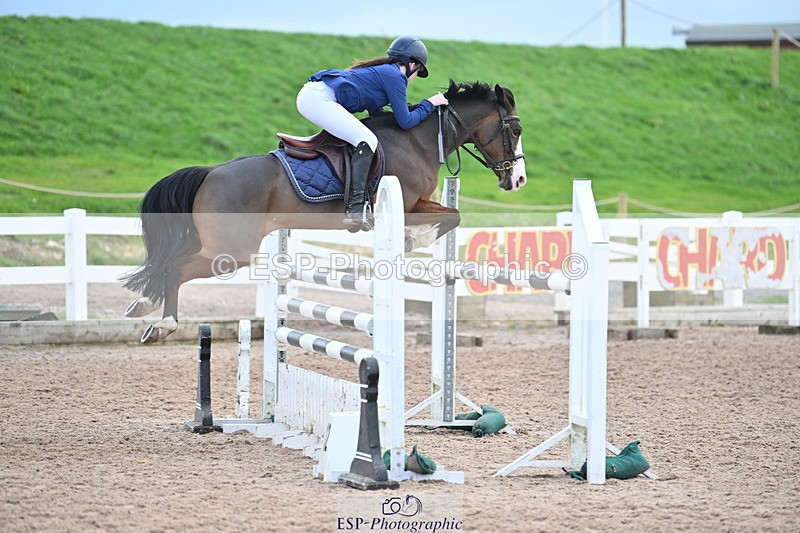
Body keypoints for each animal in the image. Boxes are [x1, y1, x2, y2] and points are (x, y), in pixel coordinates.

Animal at [121, 80, 526, 343]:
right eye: (517, 129)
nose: (518, 179)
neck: (417, 139)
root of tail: (210, 173)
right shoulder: (410, 204)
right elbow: (451, 217)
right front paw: (410, 241)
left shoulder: (418, 204)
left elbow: (451, 215)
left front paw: (410, 242)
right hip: (231, 251)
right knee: (176, 268)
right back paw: (163, 325)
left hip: (218, 244)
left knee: (168, 262)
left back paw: (143, 303)